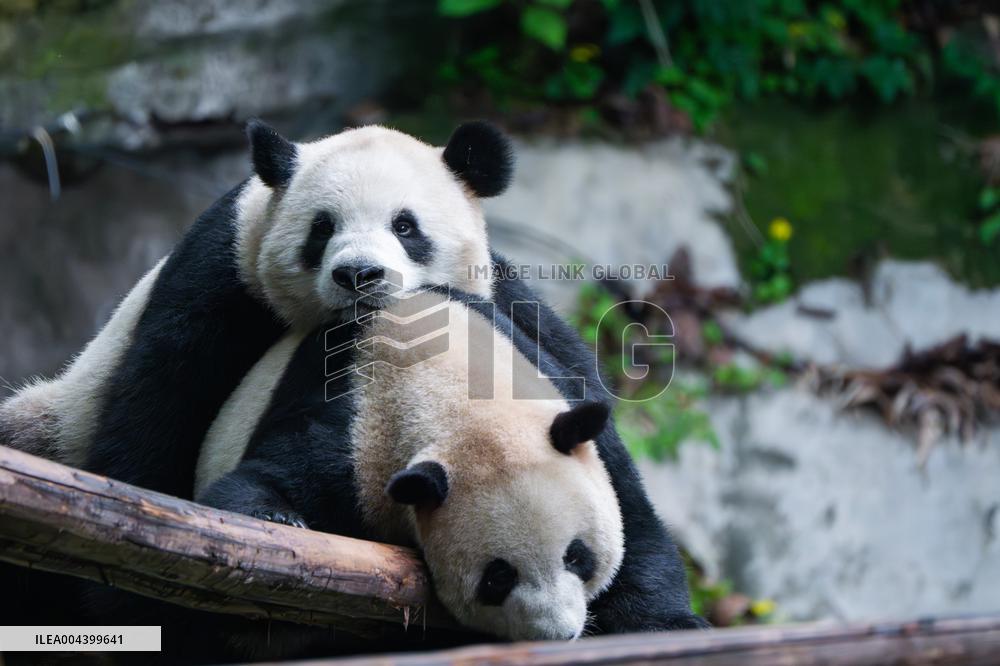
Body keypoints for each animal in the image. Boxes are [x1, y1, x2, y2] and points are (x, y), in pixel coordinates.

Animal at [0, 119, 512, 500]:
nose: (358, 275)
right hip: (56, 419)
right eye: (322, 228)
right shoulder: (221, 277)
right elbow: (160, 395)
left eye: (405, 226)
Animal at [184, 288, 704, 658]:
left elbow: (637, 526)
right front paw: (276, 521)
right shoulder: (351, 433)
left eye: (578, 556)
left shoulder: (559, 390)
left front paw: (667, 625)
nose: (557, 634)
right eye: (498, 578)